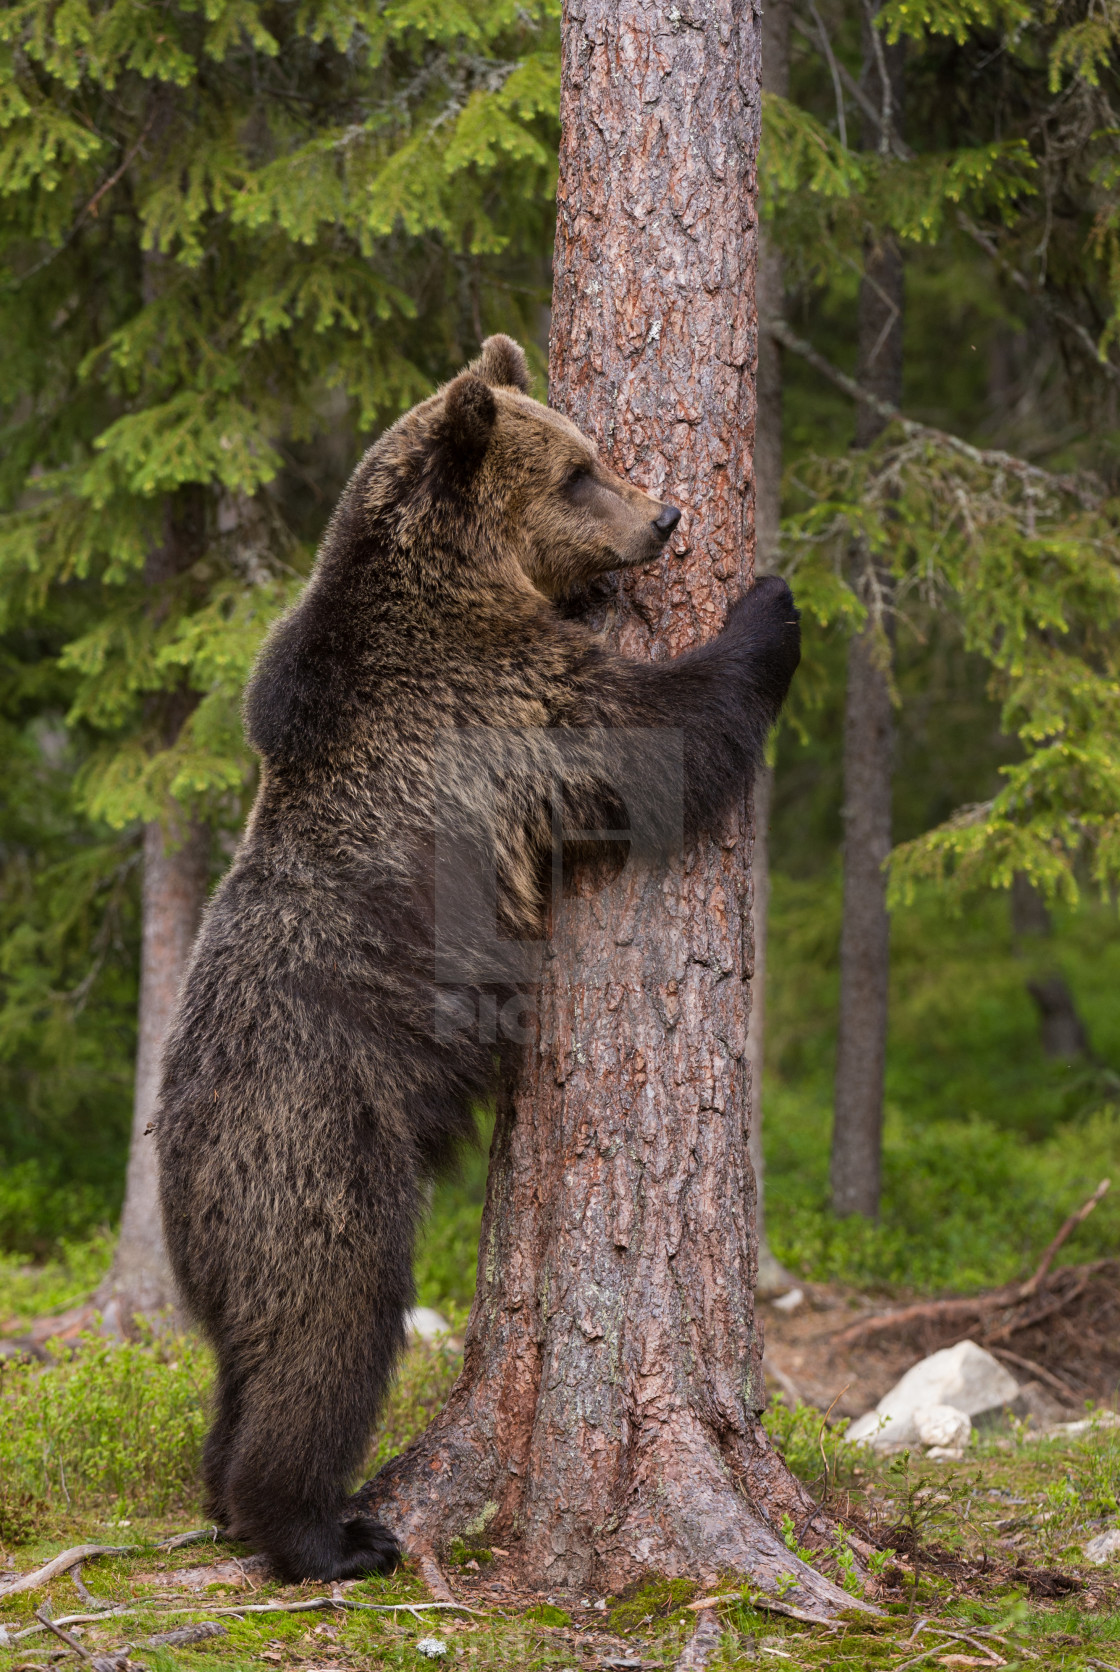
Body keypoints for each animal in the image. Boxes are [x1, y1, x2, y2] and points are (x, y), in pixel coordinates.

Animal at [157, 336, 802, 1578]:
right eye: (578, 472)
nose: (666, 515)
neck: (451, 585)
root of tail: (179, 1186)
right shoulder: (494, 703)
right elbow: (645, 738)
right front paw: (769, 604)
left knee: (248, 1359)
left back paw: (223, 1491)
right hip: (313, 1139)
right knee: (330, 1322)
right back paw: (325, 1529)